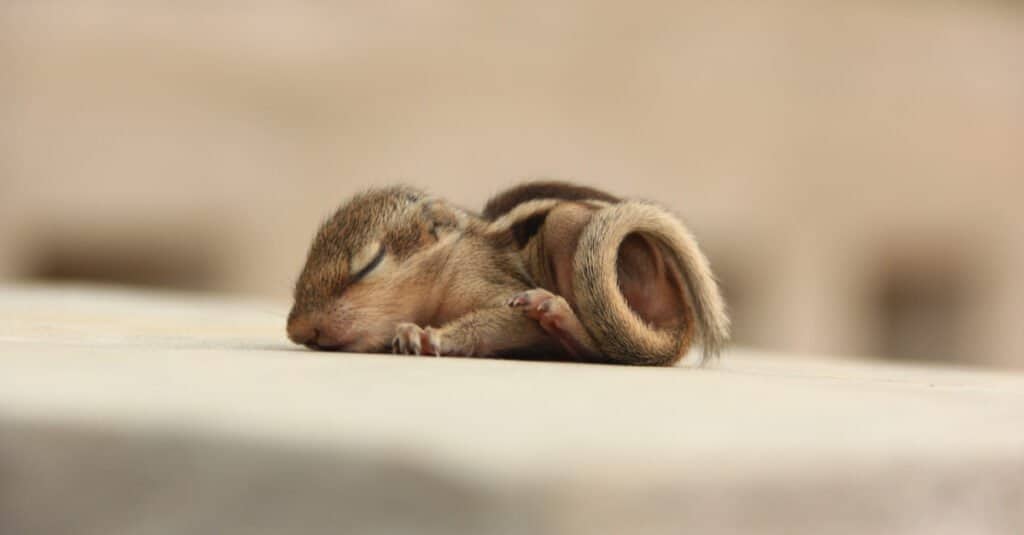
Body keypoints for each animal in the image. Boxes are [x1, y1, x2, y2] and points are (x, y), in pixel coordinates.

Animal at [288, 181, 729, 364]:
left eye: (369, 264)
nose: (298, 330)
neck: (451, 260)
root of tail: (680, 321)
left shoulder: (497, 287)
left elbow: (506, 320)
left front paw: (428, 336)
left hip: (566, 223)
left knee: (603, 351)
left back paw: (557, 312)